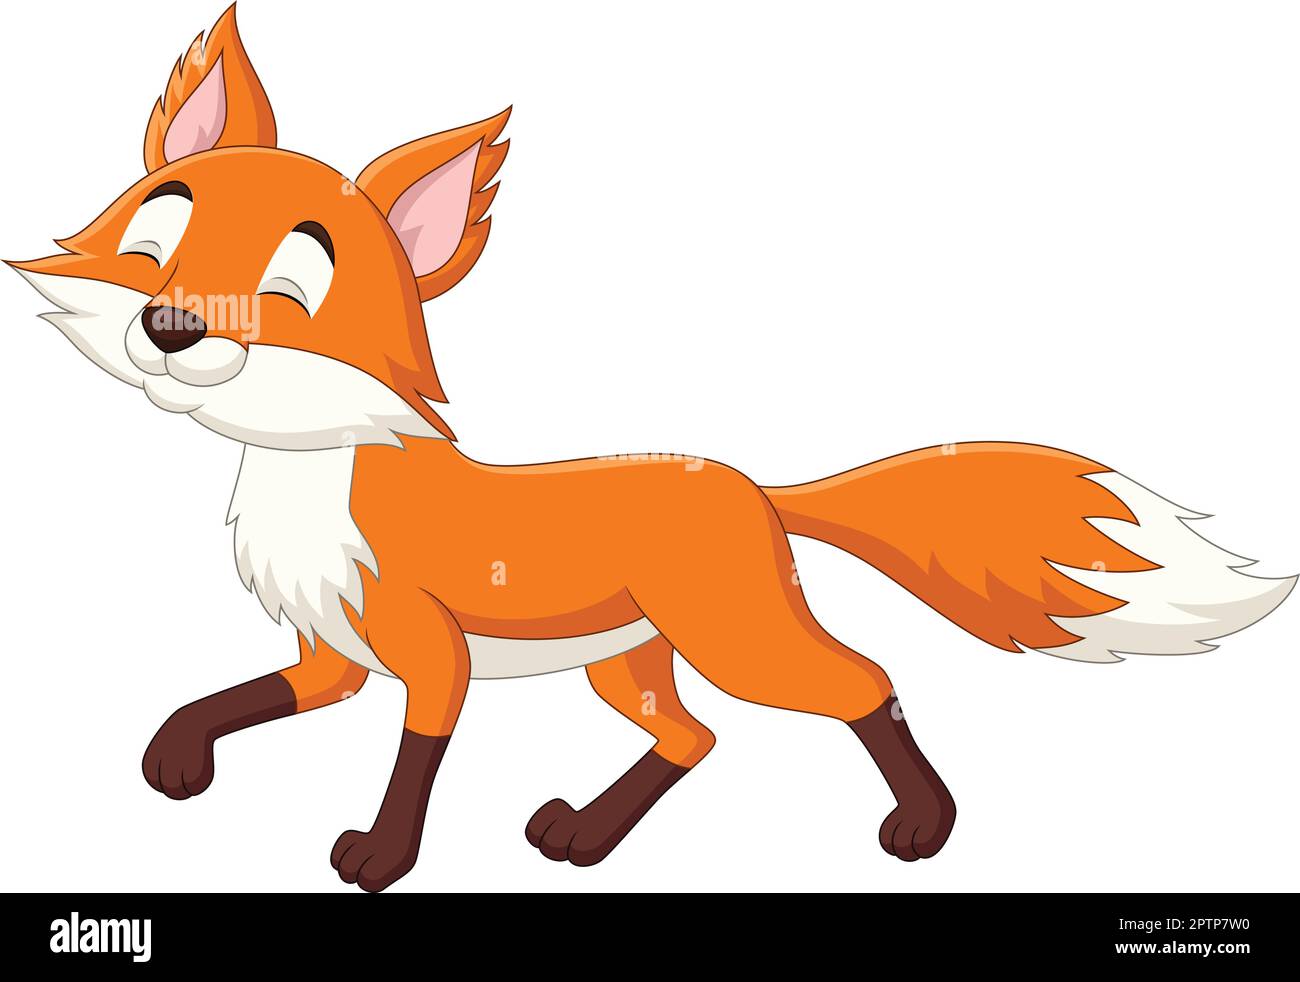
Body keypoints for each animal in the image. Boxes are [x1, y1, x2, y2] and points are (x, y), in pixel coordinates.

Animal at [9, 5, 1295, 893]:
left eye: (289, 293)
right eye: (156, 243)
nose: (171, 327)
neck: (315, 480)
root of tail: (752, 483)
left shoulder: (430, 655)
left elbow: (415, 756)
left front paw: (381, 856)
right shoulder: (333, 650)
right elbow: (234, 699)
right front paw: (178, 757)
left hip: (735, 640)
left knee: (861, 684)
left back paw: (921, 828)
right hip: (630, 659)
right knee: (695, 734)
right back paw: (585, 834)